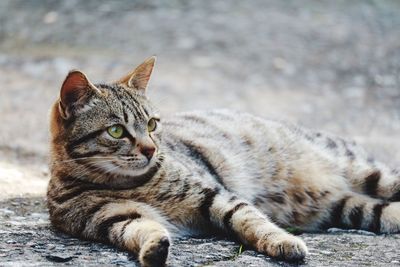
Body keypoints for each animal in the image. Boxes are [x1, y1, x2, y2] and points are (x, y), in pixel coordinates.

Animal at [47, 56, 400, 266]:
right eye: (117, 131)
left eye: (152, 125)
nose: (150, 150)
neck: (127, 184)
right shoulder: (112, 218)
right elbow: (142, 229)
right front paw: (154, 249)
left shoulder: (214, 196)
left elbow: (251, 220)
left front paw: (283, 241)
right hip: (340, 207)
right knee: (379, 211)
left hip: (361, 170)